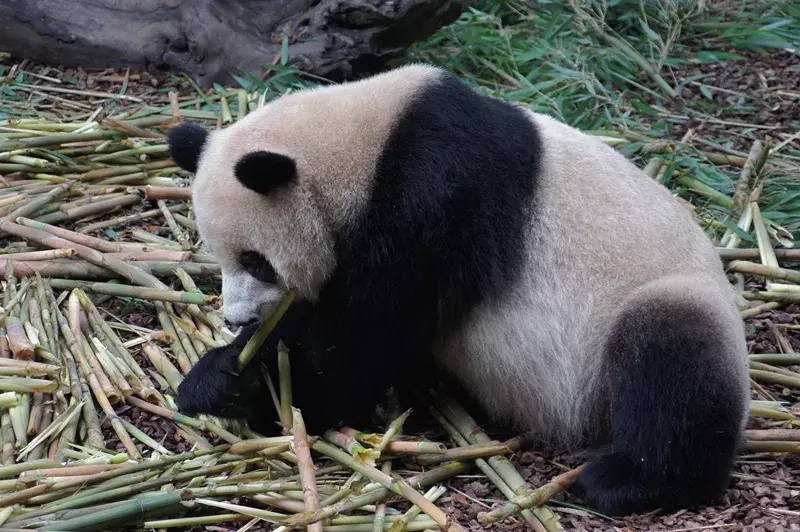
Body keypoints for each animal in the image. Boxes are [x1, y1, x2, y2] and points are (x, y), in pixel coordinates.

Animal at [167, 62, 752, 516]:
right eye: (220, 257)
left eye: (258, 262)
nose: (238, 319)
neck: (361, 145)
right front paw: (221, 378)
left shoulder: (435, 197)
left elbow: (362, 338)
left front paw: (280, 387)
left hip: (661, 298)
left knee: (670, 363)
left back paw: (629, 481)